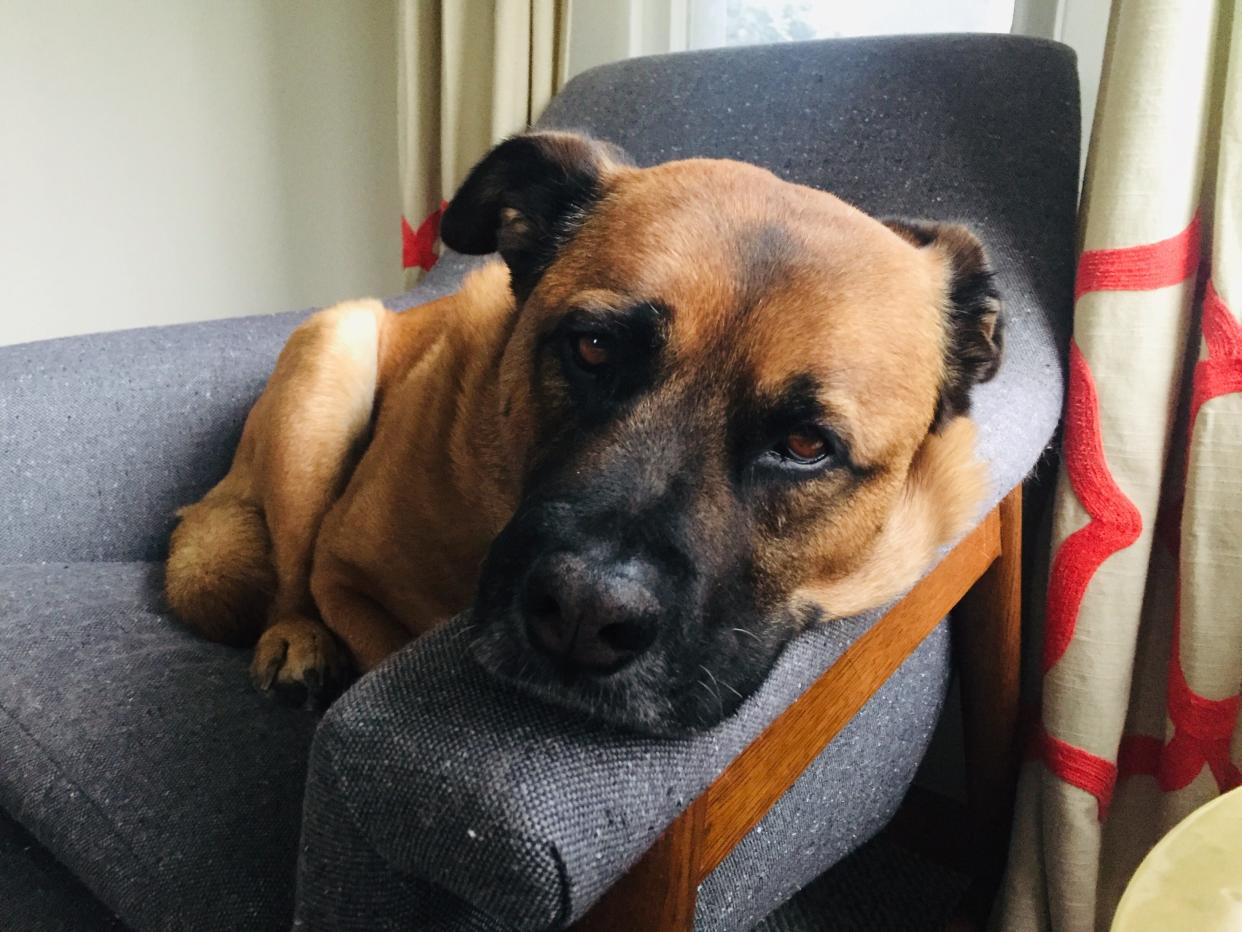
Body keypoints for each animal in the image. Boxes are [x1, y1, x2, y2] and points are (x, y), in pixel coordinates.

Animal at [165, 131, 998, 735]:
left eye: (805, 445)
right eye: (593, 347)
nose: (584, 616)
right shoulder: (347, 575)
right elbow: (337, 599)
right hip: (330, 358)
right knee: (288, 572)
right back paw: (294, 641)